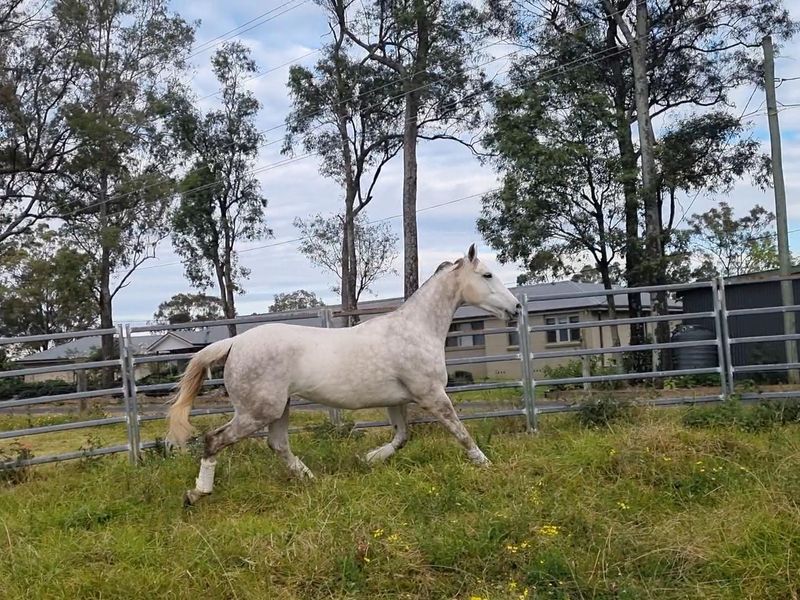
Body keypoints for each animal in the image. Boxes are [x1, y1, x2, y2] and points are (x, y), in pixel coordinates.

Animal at [167, 244, 521, 505]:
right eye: (487, 274)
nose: (516, 308)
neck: (416, 329)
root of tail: (235, 342)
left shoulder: (397, 401)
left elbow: (402, 437)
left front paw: (369, 459)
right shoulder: (432, 395)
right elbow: (461, 432)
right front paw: (486, 464)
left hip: (278, 409)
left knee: (277, 445)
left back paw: (311, 479)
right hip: (257, 411)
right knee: (214, 439)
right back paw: (197, 493)